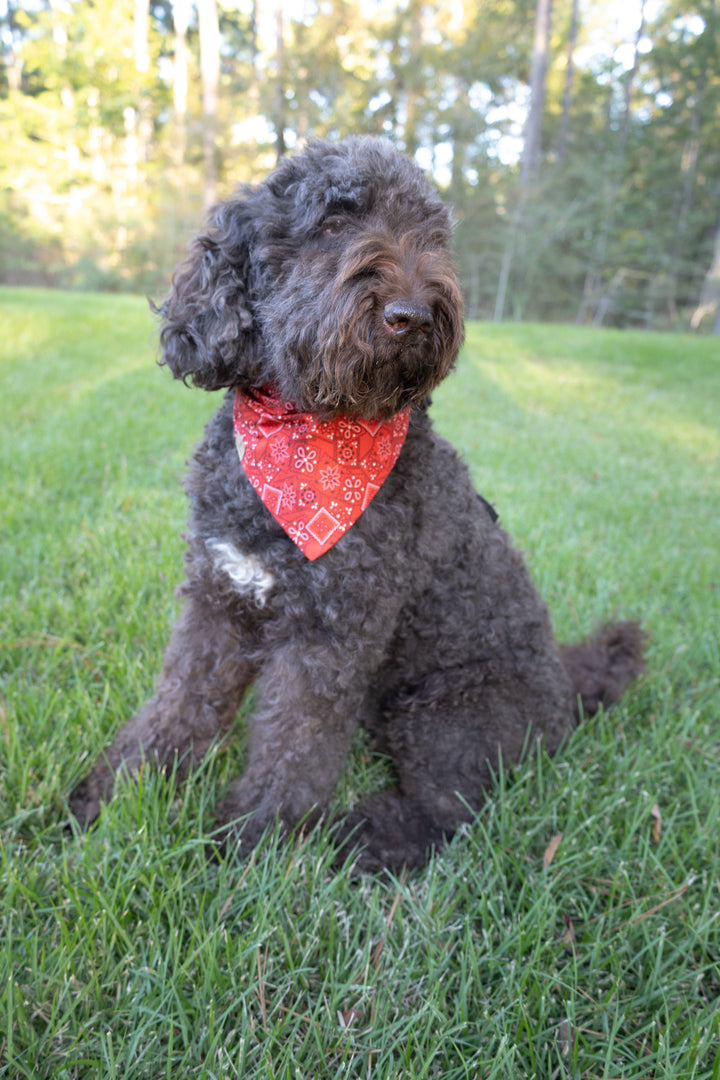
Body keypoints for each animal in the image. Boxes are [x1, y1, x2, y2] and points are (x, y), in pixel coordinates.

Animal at [69, 137, 647, 868]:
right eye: (333, 223)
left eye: (432, 236)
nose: (414, 313)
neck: (305, 433)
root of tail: (567, 695)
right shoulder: (217, 602)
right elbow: (180, 701)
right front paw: (117, 791)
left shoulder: (329, 635)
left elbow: (293, 747)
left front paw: (250, 847)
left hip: (447, 716)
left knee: (448, 813)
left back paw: (359, 839)